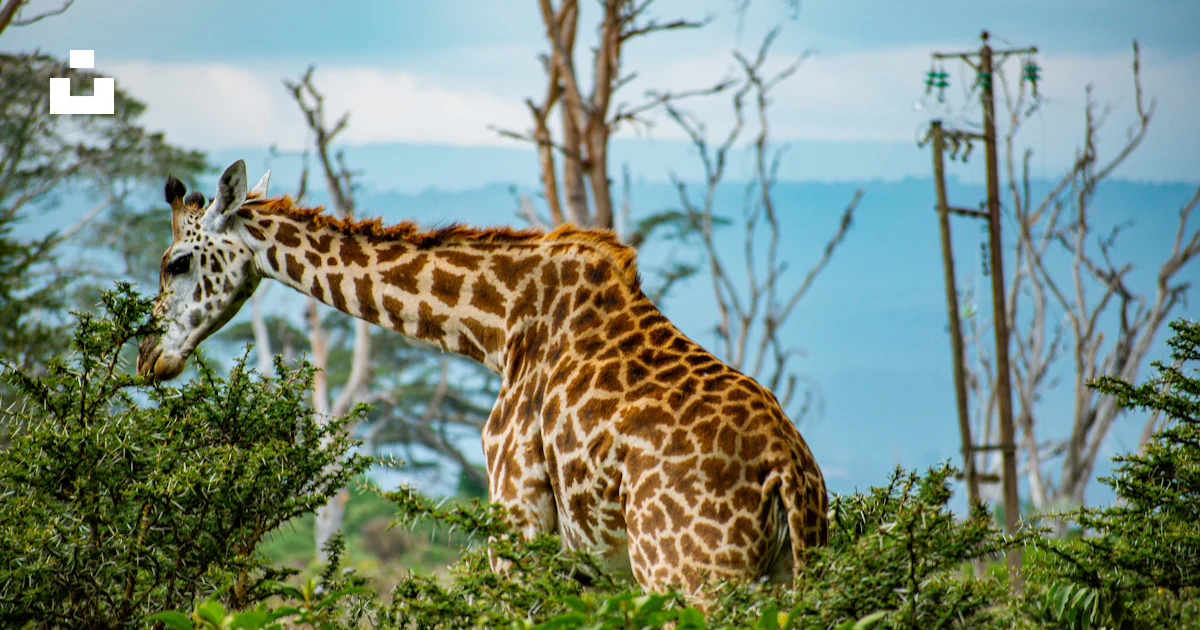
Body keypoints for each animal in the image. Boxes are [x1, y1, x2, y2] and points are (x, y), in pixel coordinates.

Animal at [137, 159, 828, 596]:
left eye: (176, 262)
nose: (146, 357)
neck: (498, 328)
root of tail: (789, 473)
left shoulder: (517, 509)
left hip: (690, 573)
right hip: (786, 575)